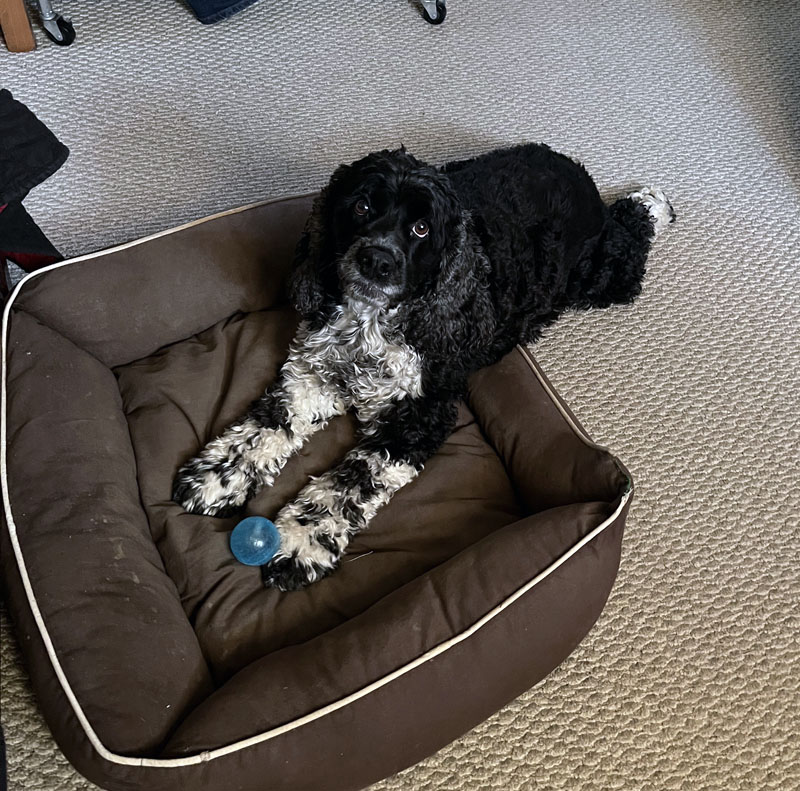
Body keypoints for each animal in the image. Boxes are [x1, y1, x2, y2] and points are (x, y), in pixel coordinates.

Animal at [173, 142, 676, 592]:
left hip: (602, 274)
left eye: (419, 228)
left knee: (629, 238)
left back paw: (653, 202)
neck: (371, 323)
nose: (376, 259)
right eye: (361, 206)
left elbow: (350, 482)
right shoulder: (313, 375)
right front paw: (217, 476)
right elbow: (265, 425)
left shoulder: (419, 416)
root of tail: (573, 169)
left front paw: (301, 542)